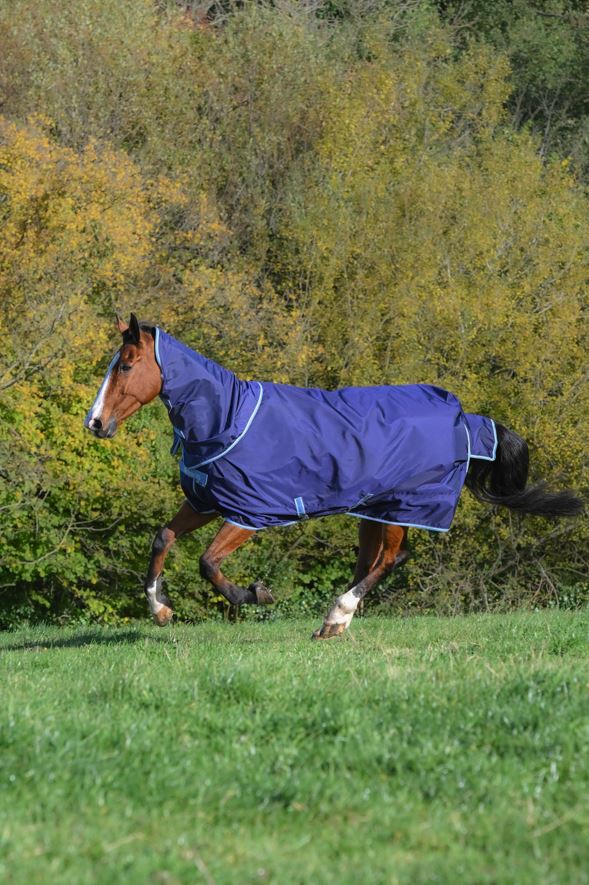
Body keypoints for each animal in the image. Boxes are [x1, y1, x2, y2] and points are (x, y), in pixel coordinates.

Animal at [84, 314, 583, 638]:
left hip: (403, 506)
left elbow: (208, 562)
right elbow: (162, 538)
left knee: (387, 561)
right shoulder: (208, 501)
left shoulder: (250, 512)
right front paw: (160, 610)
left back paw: (335, 615)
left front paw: (255, 595)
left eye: (125, 365)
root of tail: (465, 419)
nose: (95, 424)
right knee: (379, 560)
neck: (227, 419)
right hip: (374, 510)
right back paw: (336, 622)